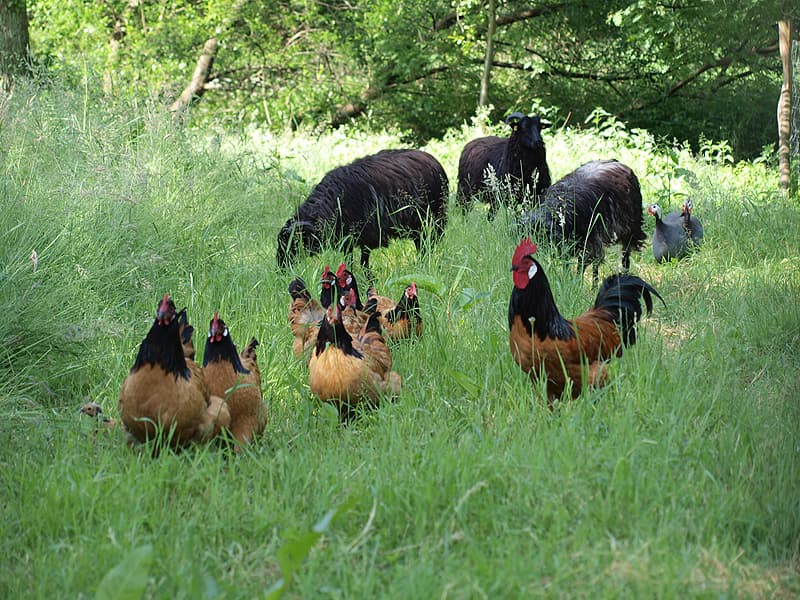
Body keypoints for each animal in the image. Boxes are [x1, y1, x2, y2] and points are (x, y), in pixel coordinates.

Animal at [276, 149, 450, 270]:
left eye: (295, 243)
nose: (281, 269)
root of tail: (434, 161)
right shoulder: (347, 240)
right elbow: (350, 261)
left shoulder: (366, 235)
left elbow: (363, 262)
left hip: (434, 221)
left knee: (428, 247)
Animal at [520, 157, 648, 284]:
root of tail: (617, 162)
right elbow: (567, 265)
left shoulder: (590, 244)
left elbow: (582, 266)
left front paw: (578, 284)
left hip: (630, 230)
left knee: (624, 256)